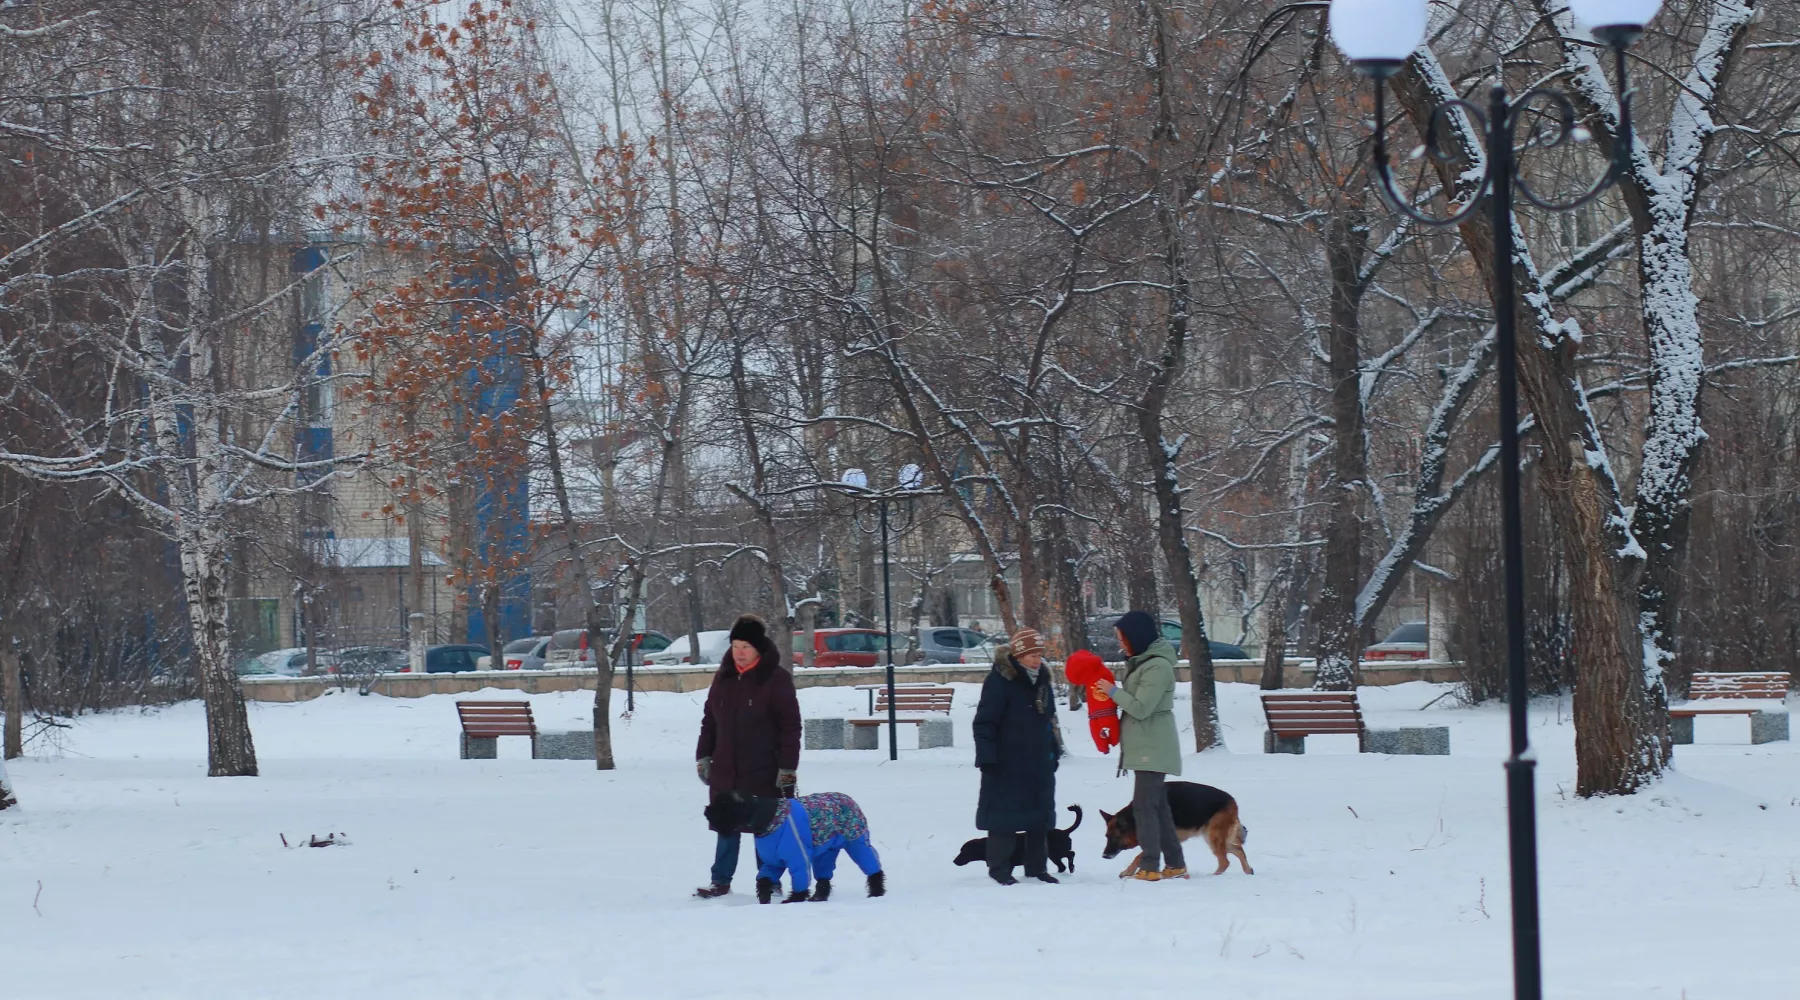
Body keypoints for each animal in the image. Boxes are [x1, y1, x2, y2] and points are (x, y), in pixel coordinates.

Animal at [1094, 780, 1252, 874]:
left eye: (1116, 838)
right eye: (1107, 837)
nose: (1104, 856)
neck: (1134, 819)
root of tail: (1232, 800)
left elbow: (1139, 855)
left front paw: (1128, 872)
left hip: (1213, 837)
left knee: (1225, 861)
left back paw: (1214, 876)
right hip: (1211, 837)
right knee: (1238, 850)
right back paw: (1248, 871)